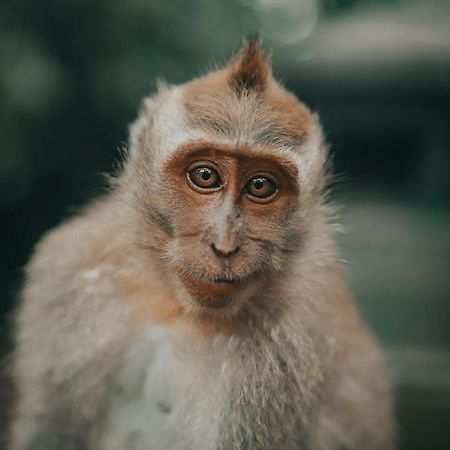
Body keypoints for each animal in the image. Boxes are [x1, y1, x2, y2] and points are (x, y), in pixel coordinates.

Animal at [7, 39, 394, 450]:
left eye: (260, 185)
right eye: (205, 176)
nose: (224, 246)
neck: (176, 310)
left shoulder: (285, 356)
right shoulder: (70, 271)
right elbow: (51, 429)